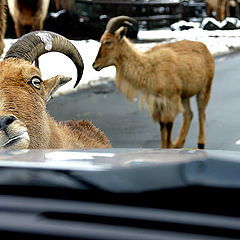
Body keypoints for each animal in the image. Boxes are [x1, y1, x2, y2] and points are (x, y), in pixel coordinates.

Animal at [93, 15, 215, 148]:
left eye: (107, 42)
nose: (95, 65)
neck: (151, 68)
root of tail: (205, 48)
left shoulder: (171, 99)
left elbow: (168, 124)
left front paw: (168, 146)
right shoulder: (158, 102)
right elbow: (162, 125)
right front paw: (164, 147)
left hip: (205, 88)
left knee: (201, 114)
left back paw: (200, 143)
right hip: (184, 95)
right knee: (189, 115)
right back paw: (178, 144)